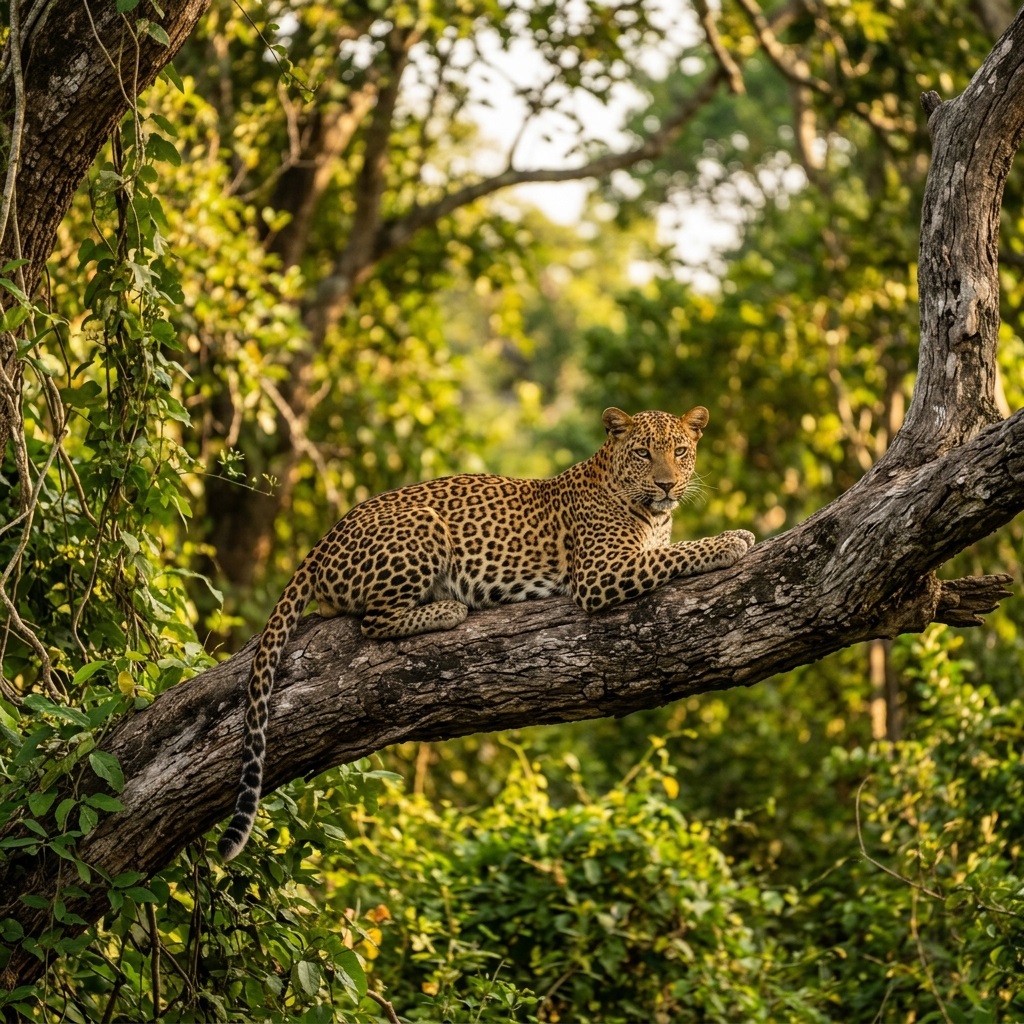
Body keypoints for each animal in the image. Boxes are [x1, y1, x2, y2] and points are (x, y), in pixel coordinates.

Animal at [218, 405, 755, 861]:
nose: (667, 485)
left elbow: (669, 549)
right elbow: (675, 554)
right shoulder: (601, 572)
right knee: (372, 619)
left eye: (680, 451)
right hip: (423, 526)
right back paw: (448, 608)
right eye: (644, 453)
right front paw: (732, 540)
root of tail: (324, 539)